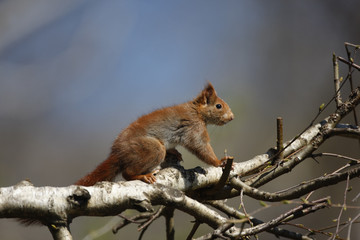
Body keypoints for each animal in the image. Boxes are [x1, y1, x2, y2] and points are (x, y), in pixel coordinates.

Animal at [75, 82, 233, 186]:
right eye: (219, 106)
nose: (232, 117)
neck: (197, 112)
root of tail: (117, 153)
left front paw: (174, 152)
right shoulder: (194, 128)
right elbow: (200, 146)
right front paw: (220, 161)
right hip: (151, 148)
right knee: (127, 173)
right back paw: (142, 176)